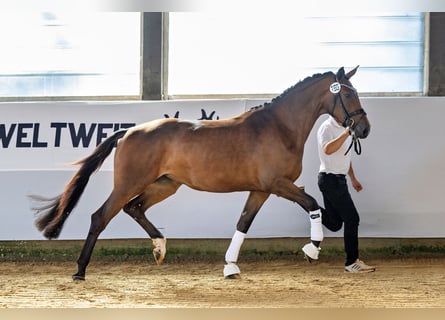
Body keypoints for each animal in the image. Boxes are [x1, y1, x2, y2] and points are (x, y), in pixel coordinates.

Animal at [31, 67, 370, 280]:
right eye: (348, 95)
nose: (364, 129)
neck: (279, 127)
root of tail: (129, 132)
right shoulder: (277, 183)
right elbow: (312, 203)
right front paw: (312, 249)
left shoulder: (261, 189)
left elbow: (243, 223)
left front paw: (230, 267)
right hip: (130, 182)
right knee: (101, 216)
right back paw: (80, 271)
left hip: (166, 185)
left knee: (134, 208)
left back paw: (159, 248)